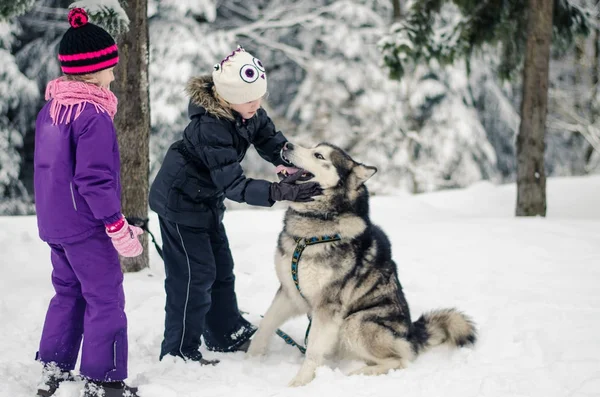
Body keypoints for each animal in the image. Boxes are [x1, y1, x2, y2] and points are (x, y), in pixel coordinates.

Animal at [246, 143, 476, 386]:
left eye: (318, 155)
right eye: (312, 147)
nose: (287, 144)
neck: (311, 235)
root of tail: (412, 334)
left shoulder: (327, 306)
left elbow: (313, 352)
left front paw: (300, 382)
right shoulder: (289, 293)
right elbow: (265, 325)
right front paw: (249, 360)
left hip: (354, 323)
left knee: (400, 360)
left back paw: (356, 374)